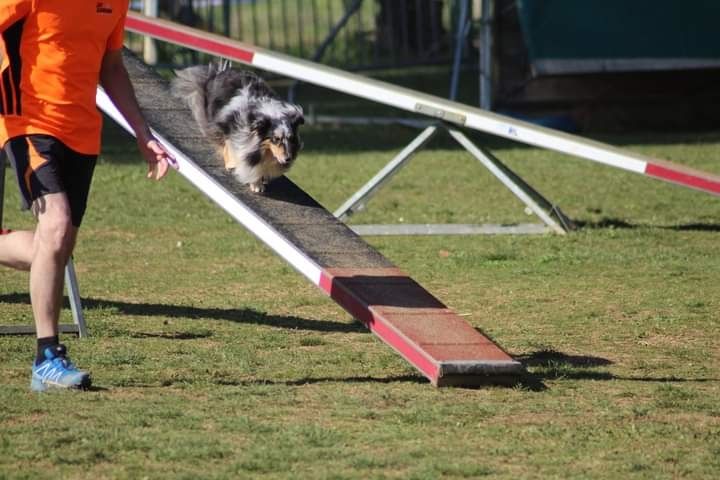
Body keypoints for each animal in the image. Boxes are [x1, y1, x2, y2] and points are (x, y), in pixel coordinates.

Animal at [172, 61, 304, 192]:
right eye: (275, 139)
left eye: (291, 138)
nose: (288, 159)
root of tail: (222, 70)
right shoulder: (227, 126)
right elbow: (230, 147)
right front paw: (254, 183)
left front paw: (260, 179)